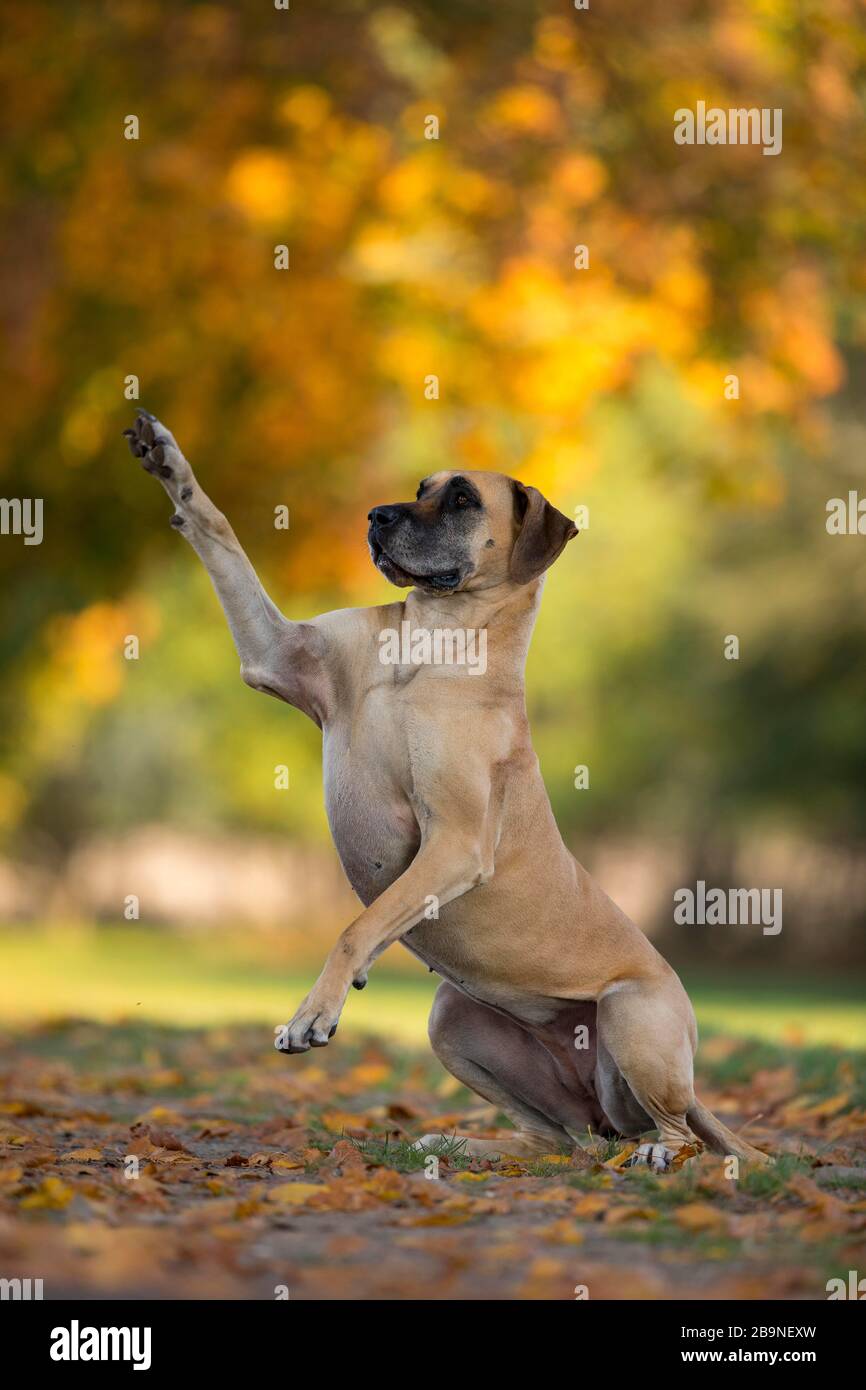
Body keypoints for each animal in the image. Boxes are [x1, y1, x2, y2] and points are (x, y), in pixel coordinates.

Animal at [123, 411, 772, 1173]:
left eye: (462, 500)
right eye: (418, 487)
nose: (375, 516)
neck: (432, 644)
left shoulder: (454, 843)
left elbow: (357, 928)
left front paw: (313, 1015)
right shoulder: (276, 653)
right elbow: (217, 530)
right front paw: (167, 459)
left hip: (631, 1018)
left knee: (673, 1133)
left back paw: (658, 1156)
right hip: (454, 1017)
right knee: (558, 1137)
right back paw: (464, 1143)